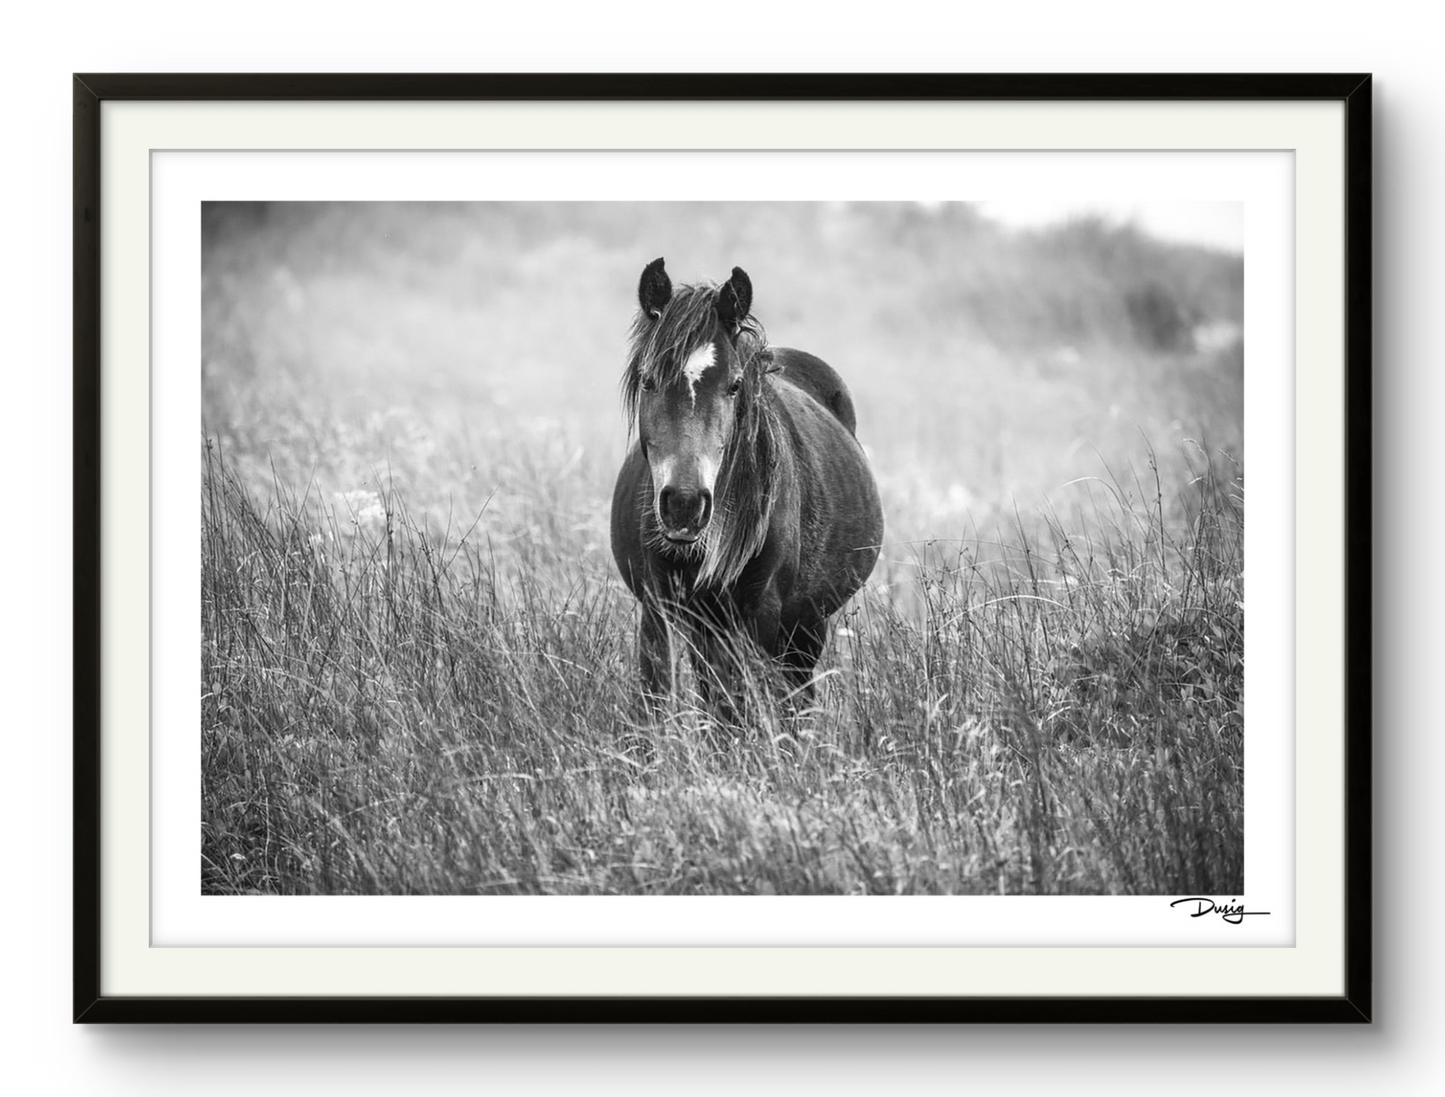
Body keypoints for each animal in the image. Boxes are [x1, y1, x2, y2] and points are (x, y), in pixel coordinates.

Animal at [606, 258, 878, 719]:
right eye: (647, 381)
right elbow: (660, 697)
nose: (684, 505)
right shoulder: (658, 607)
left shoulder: (761, 615)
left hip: (805, 625)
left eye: (734, 385)